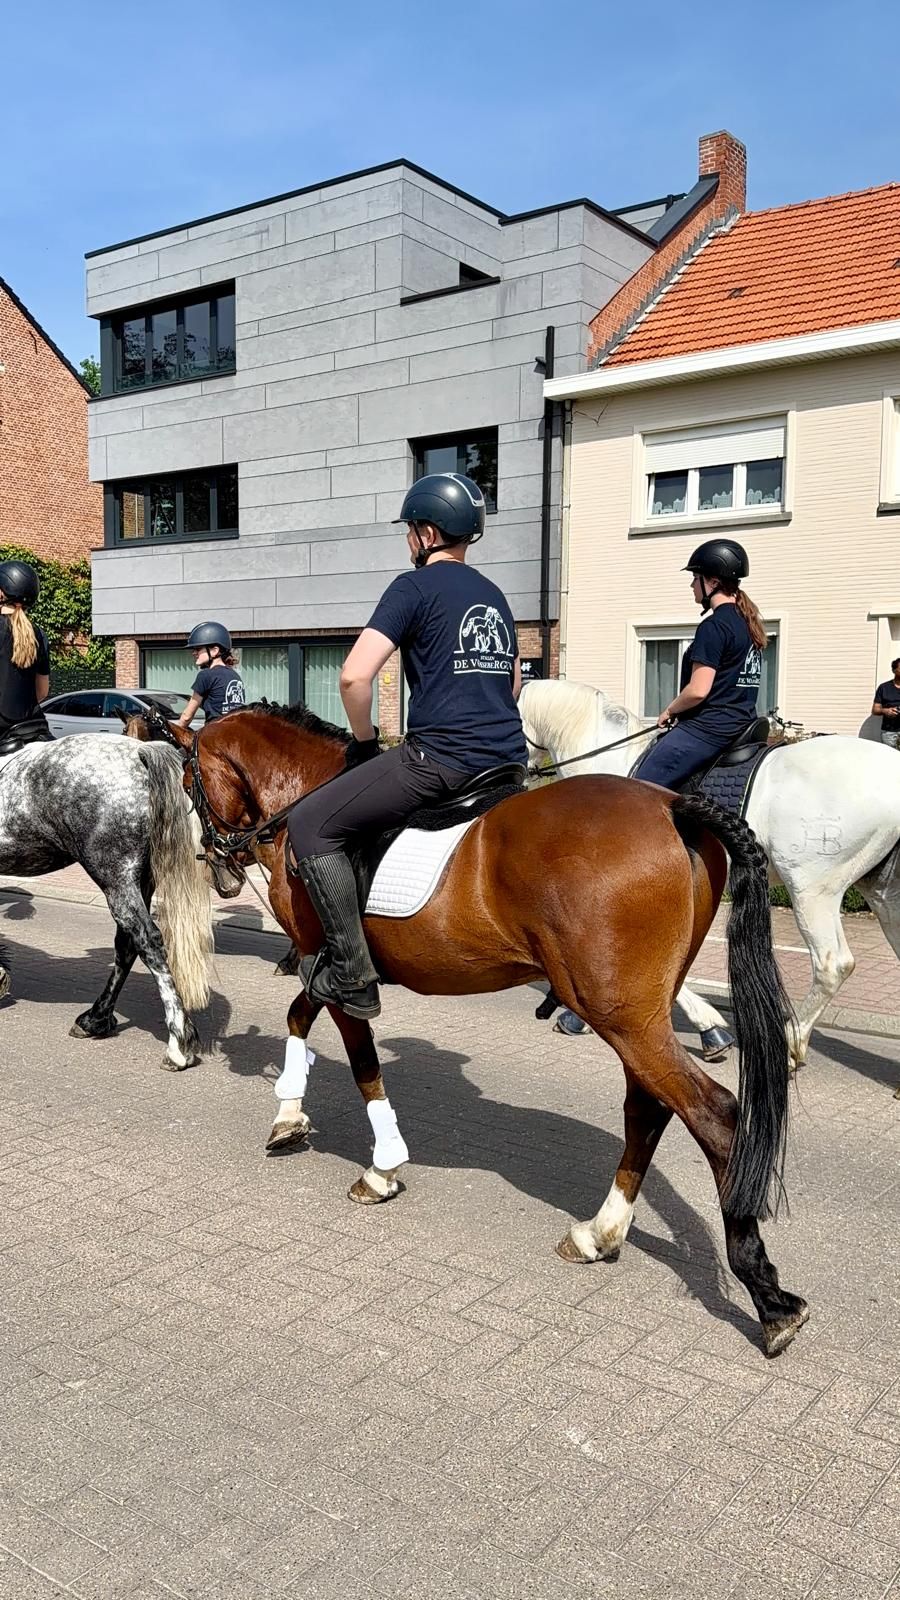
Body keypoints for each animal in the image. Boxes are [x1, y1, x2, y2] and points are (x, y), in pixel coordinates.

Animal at [0, 736, 211, 1068]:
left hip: (114, 875)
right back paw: (95, 1019)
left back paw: (178, 1044)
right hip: (139, 880)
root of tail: (139, 751)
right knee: (128, 945)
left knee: (148, 941)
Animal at [153, 702, 808, 1357]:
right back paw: (600, 1233)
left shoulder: (340, 975)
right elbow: (296, 1017)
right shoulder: (323, 970)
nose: (218, 868)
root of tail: (672, 807)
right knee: (648, 1108)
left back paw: (767, 1295)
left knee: (714, 1115)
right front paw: (290, 1115)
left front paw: (381, 1168)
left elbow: (362, 1063)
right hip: (635, 1016)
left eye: (190, 782)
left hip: (620, 1015)